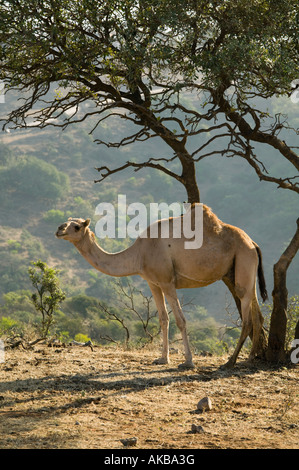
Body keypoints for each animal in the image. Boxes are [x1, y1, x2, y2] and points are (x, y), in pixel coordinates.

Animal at [56, 204, 270, 370]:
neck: (139, 254)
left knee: (247, 318)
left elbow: (181, 320)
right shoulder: (153, 282)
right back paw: (250, 359)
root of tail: (253, 243)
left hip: (243, 260)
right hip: (235, 273)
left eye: (76, 226)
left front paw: (188, 362)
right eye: (68, 222)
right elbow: (163, 319)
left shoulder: (167, 281)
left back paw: (230, 362)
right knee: (257, 315)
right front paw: (162, 358)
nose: (59, 229)